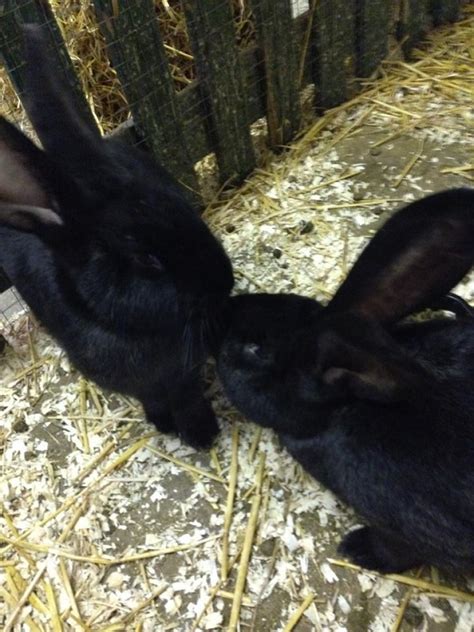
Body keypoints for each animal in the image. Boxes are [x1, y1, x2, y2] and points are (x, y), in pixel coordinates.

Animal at [0, 24, 233, 446]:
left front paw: (201, 433)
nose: (225, 283)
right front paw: (169, 426)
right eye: (146, 257)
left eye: (183, 207)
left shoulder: (183, 378)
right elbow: (156, 400)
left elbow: (189, 397)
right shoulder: (145, 386)